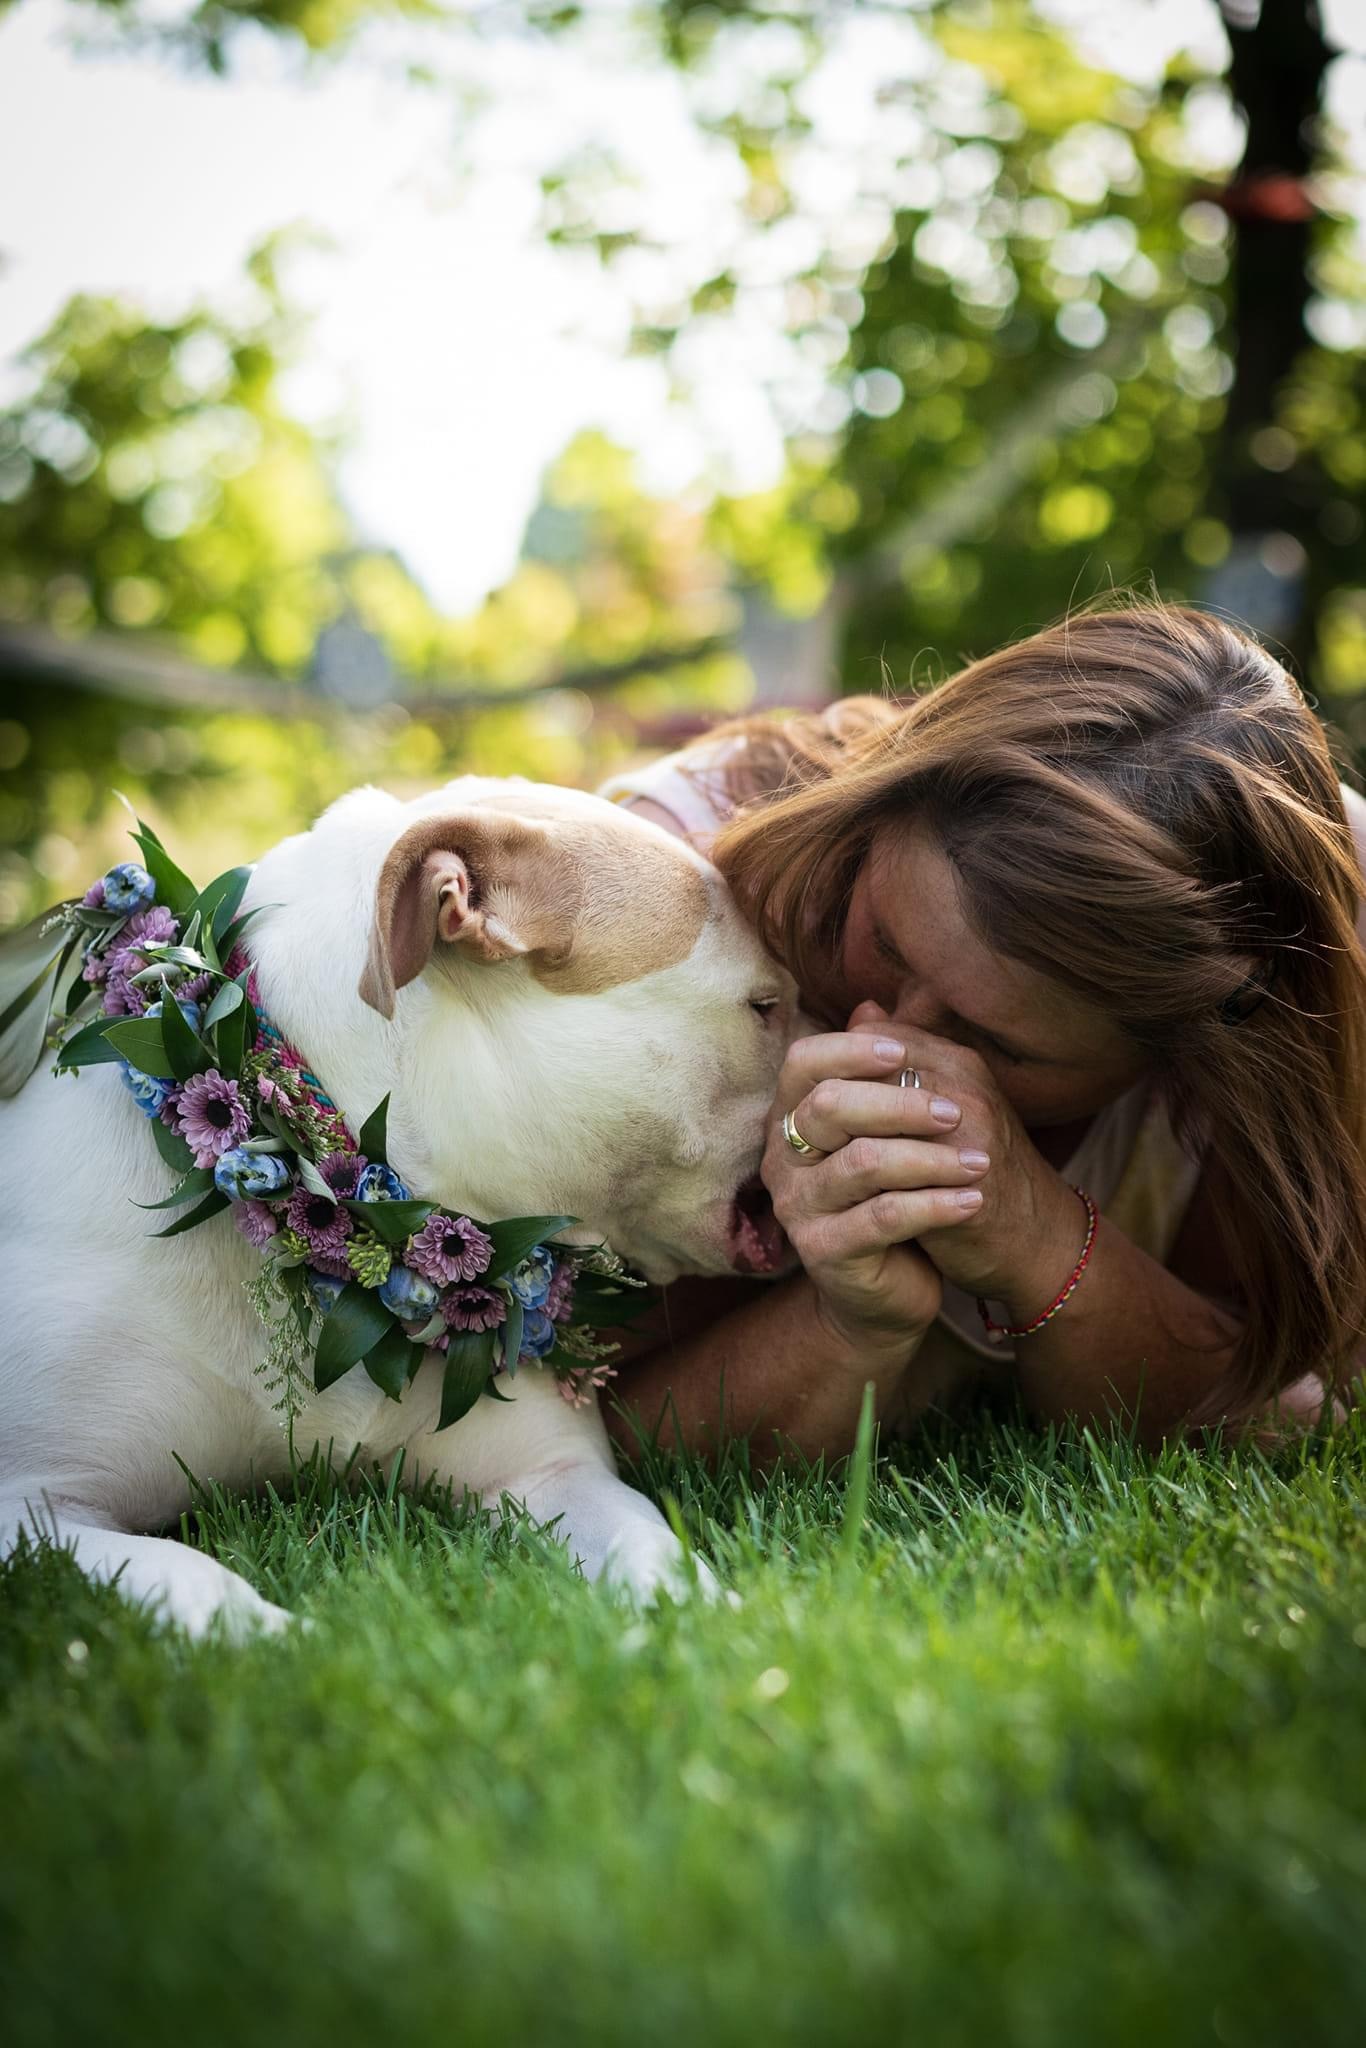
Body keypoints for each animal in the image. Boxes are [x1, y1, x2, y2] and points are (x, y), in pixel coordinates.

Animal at [0, 774, 790, 1638]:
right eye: (767, 1007)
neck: (333, 1245)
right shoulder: (36, 1506)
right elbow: (187, 1575)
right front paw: (284, 1644)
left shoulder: (552, 1474)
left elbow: (652, 1550)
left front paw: (717, 1627)